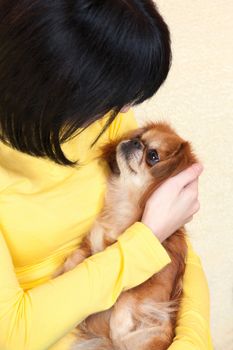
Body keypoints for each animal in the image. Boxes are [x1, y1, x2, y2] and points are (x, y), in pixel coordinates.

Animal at [56, 121, 197, 350]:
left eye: (153, 156)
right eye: (139, 137)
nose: (134, 142)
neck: (124, 204)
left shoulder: (157, 282)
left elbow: (126, 298)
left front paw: (120, 331)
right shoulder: (91, 243)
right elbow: (76, 258)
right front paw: (64, 272)